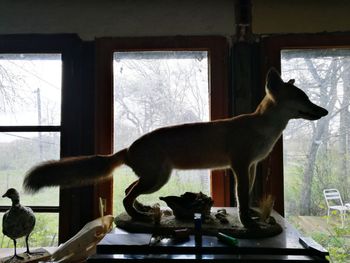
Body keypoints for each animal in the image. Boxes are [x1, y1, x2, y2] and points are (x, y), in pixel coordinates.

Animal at [22, 68, 328, 229]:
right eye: (304, 98)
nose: (324, 111)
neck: (263, 129)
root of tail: (128, 148)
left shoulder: (250, 167)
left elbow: (247, 196)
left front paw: (252, 217)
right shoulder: (240, 166)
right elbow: (242, 198)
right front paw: (248, 223)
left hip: (152, 179)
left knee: (127, 191)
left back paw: (142, 210)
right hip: (158, 179)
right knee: (126, 196)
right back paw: (139, 216)